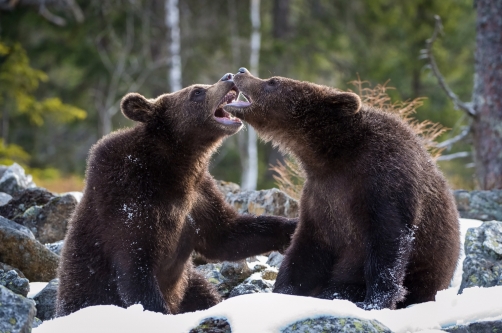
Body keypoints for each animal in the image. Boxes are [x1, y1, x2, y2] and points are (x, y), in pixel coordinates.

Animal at [55, 73, 298, 316]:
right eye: (197, 91)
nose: (228, 77)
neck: (172, 168)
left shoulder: (198, 197)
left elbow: (227, 234)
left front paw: (291, 227)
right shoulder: (126, 201)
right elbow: (136, 269)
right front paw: (157, 311)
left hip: (188, 284)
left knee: (205, 293)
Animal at [226, 67, 460, 308]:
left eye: (273, 81)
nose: (241, 71)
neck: (333, 154)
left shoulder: (383, 184)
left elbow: (388, 243)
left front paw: (375, 301)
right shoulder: (322, 196)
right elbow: (306, 251)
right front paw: (283, 292)